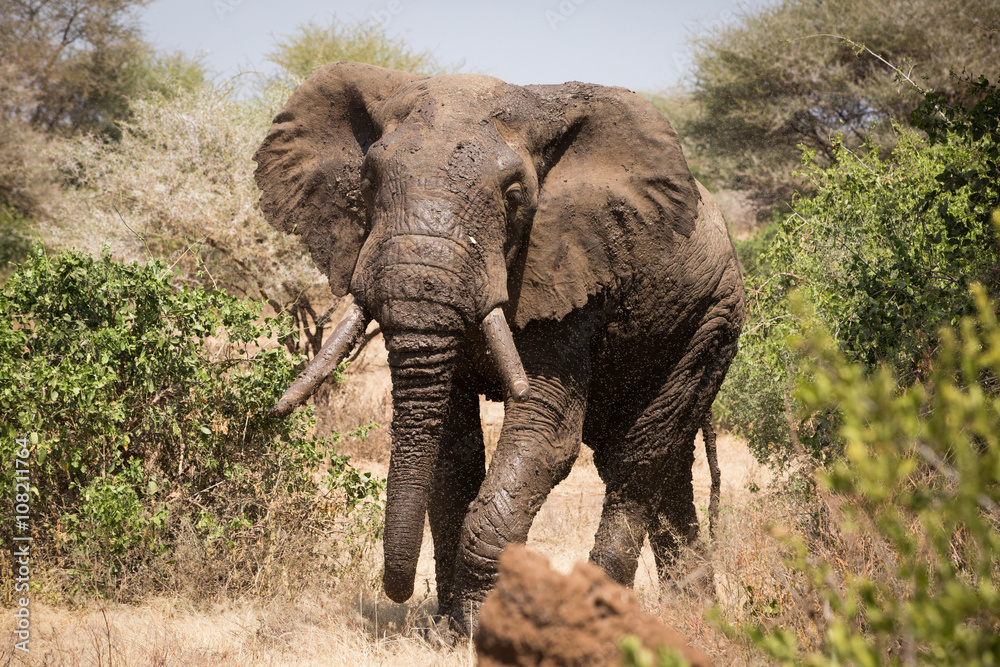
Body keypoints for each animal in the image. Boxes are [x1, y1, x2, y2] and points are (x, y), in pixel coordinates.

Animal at [253, 62, 745, 634]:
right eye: (368, 183)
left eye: (513, 196)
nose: (399, 594)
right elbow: (454, 448)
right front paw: (448, 630)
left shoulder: (569, 271)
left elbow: (545, 431)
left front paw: (478, 627)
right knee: (664, 469)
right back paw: (696, 616)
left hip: (711, 321)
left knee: (637, 459)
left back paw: (607, 616)